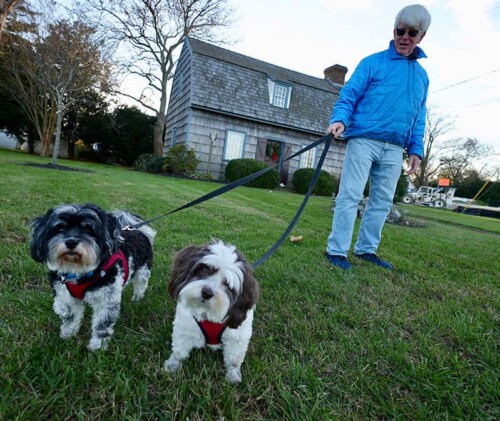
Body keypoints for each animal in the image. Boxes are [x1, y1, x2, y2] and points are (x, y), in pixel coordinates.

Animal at [29, 203, 154, 352]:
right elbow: (70, 317)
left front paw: (97, 348)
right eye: (60, 228)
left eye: (88, 229)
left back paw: (137, 300)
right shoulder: (65, 296)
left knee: (140, 286)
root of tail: (139, 231)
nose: (71, 242)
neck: (79, 272)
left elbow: (101, 326)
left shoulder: (106, 301)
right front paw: (68, 335)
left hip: (143, 271)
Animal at [165, 240, 260, 380]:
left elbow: (234, 359)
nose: (207, 293)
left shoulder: (237, 337)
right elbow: (179, 350)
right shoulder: (184, 328)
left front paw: (233, 374)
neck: (208, 312)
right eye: (204, 269)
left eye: (227, 283)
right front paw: (173, 365)